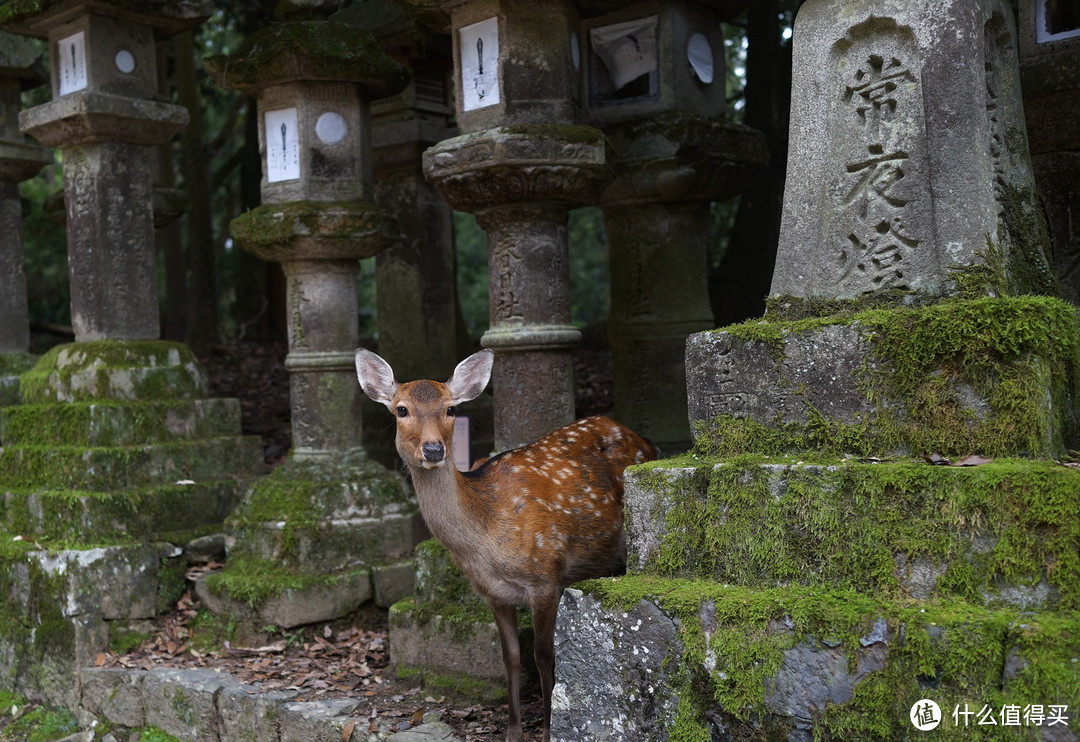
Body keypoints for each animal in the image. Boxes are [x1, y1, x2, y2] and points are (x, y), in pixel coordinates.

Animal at [356, 349, 656, 742]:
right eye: (401, 409)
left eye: (451, 408)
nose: (434, 449)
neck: (485, 542)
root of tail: (645, 441)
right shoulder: (492, 594)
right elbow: (510, 657)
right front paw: (514, 731)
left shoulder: (545, 576)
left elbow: (543, 655)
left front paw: (548, 728)